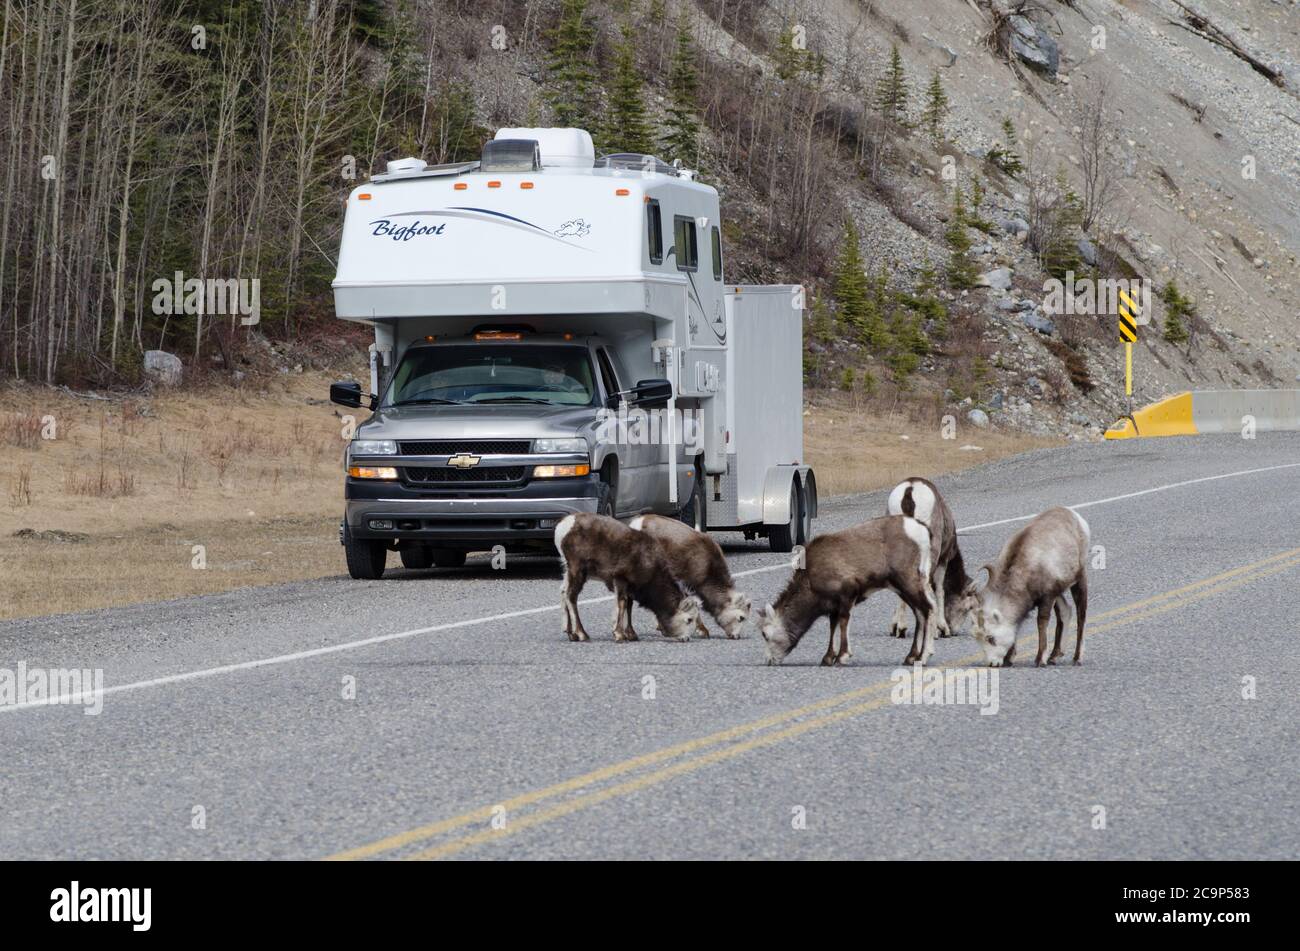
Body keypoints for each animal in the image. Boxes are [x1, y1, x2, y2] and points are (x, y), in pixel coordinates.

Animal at [556, 517, 707, 641]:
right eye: (689, 619)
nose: (686, 638)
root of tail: (562, 528)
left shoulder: (630, 587)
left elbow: (629, 606)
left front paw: (631, 634)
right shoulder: (620, 580)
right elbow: (622, 604)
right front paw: (619, 635)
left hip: (568, 570)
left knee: (563, 592)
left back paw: (570, 634)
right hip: (578, 570)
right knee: (571, 596)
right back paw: (582, 634)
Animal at [629, 511, 754, 639]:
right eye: (741, 617)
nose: (736, 636)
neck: (708, 567)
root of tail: (638, 524)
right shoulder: (685, 584)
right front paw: (703, 631)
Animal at [759, 517, 941, 665]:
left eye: (765, 634)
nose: (769, 660)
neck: (810, 580)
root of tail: (922, 529)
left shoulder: (847, 596)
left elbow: (843, 623)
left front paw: (842, 657)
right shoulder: (833, 605)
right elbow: (833, 627)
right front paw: (827, 658)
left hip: (907, 582)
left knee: (928, 609)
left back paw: (923, 657)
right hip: (904, 587)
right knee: (921, 613)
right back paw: (911, 657)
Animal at [883, 478, 977, 641]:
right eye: (967, 607)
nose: (953, 630)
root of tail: (910, 490)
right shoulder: (942, 560)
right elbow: (939, 589)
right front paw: (942, 629)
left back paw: (900, 629)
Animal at [967, 504, 1086, 670]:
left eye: (991, 638)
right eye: (977, 638)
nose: (992, 663)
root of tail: (1072, 514)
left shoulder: (1047, 597)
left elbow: (1041, 622)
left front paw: (1040, 660)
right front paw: (1009, 659)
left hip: (1078, 580)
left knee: (1081, 615)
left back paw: (1077, 658)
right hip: (1060, 592)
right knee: (1065, 612)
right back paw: (1054, 656)